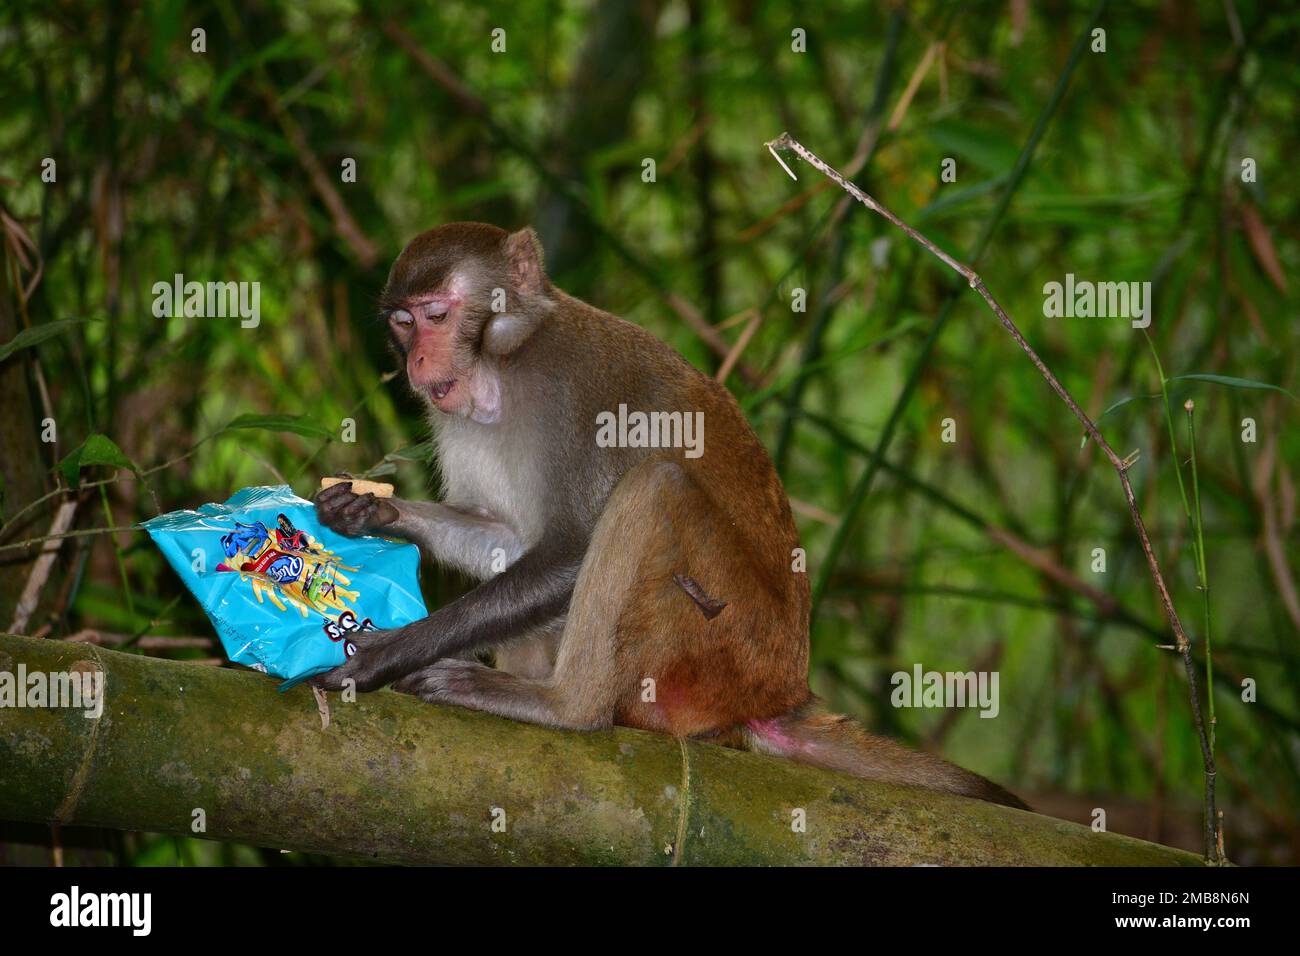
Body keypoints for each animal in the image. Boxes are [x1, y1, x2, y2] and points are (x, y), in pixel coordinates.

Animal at [314, 221, 1029, 811]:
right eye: (402, 323)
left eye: (437, 314)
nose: (416, 360)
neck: (504, 366)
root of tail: (781, 694)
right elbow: (509, 541)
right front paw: (371, 511)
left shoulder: (577, 390)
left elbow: (569, 551)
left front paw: (393, 649)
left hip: (718, 647)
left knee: (654, 489)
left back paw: (564, 706)